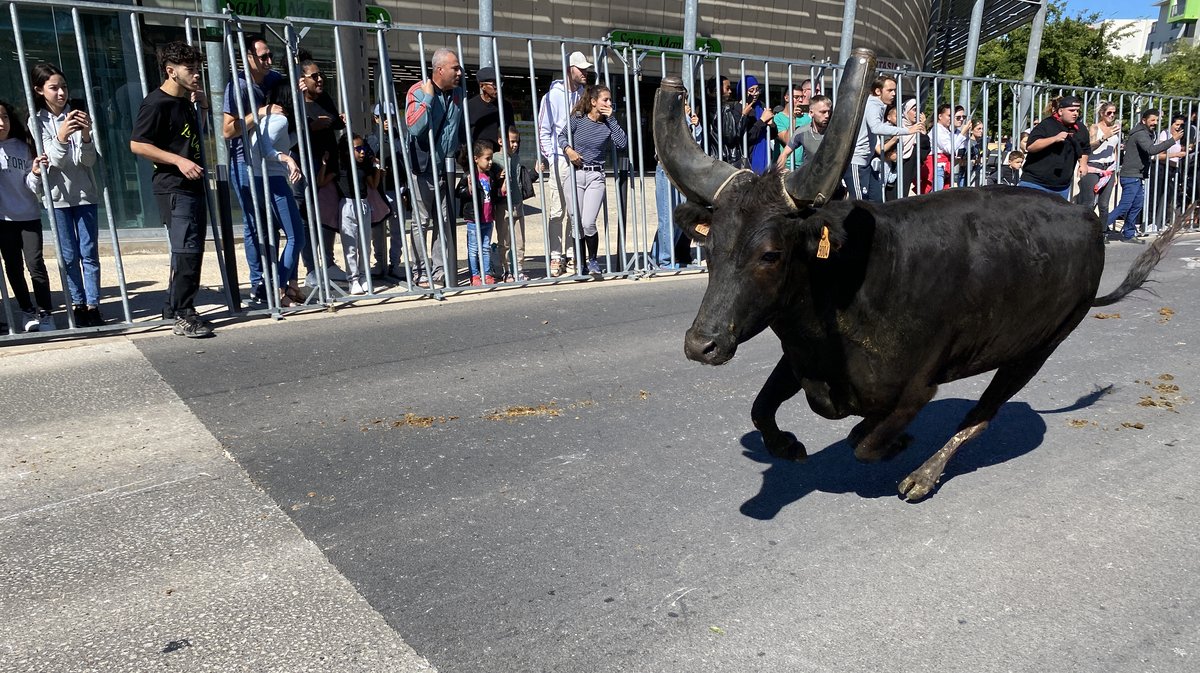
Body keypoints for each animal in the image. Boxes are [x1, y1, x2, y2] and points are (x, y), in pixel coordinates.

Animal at [652, 53, 1185, 503]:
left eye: (770, 254)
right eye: (709, 249)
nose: (701, 344)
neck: (850, 281)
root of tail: (1086, 217)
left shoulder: (918, 387)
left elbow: (865, 441)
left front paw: (895, 443)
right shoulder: (799, 354)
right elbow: (761, 407)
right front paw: (787, 446)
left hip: (1038, 348)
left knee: (982, 414)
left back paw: (923, 477)